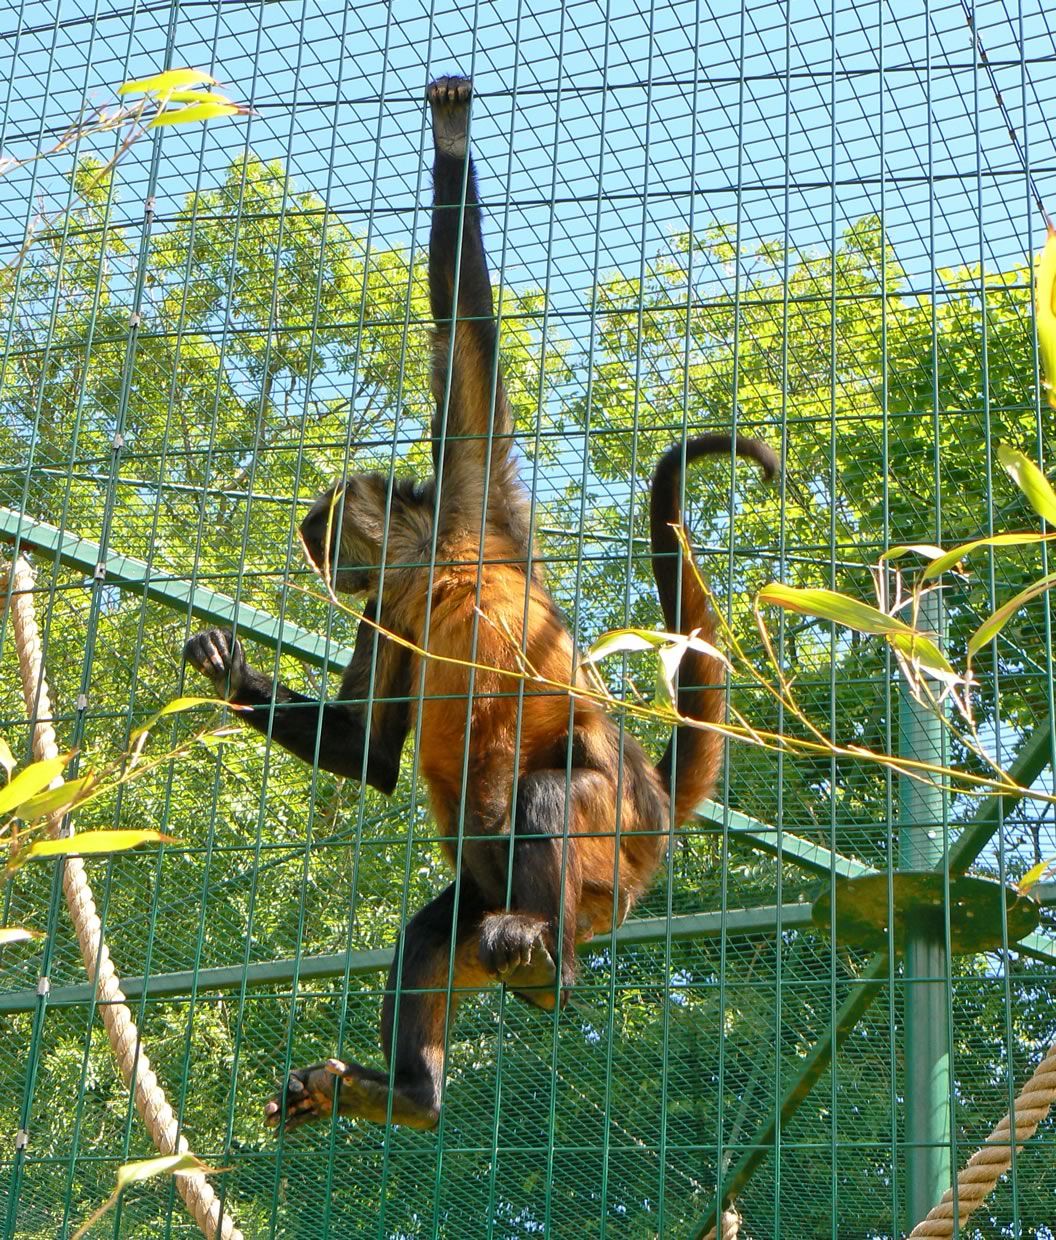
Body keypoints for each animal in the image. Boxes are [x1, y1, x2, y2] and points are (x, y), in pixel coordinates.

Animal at [184, 76, 778, 1134]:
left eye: (328, 542)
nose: (327, 573)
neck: (434, 566)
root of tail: (657, 805)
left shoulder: (473, 498)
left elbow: (465, 336)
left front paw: (453, 138)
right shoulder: (392, 609)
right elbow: (373, 753)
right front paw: (226, 668)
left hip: (613, 843)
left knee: (549, 787)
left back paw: (551, 965)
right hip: (505, 883)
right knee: (437, 924)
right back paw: (411, 1094)